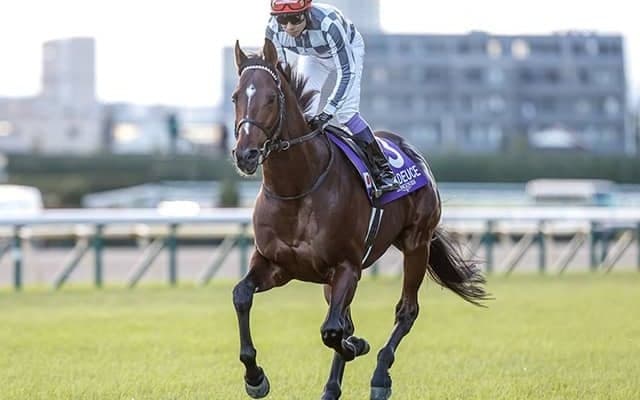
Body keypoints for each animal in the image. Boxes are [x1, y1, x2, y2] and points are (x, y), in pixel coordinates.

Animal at [230, 39, 489, 400]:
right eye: (236, 97)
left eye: (270, 97)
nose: (246, 155)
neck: (298, 189)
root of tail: (409, 148)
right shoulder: (276, 264)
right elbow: (241, 295)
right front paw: (254, 377)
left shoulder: (347, 268)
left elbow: (332, 331)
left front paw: (358, 347)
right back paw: (331, 387)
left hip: (417, 243)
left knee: (406, 311)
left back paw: (380, 375)